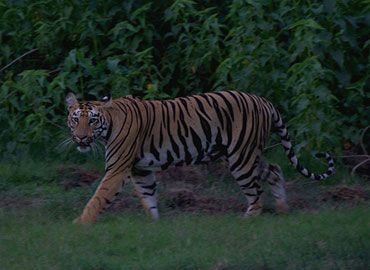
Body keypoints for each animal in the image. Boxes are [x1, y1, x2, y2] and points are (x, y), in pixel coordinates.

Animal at [65, 90, 334, 224]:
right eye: (75, 119)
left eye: (92, 120)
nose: (80, 138)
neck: (108, 125)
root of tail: (264, 101)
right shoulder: (141, 170)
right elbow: (148, 197)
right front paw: (155, 224)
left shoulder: (118, 167)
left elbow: (99, 196)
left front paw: (80, 223)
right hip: (247, 154)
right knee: (275, 170)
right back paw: (283, 210)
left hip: (241, 158)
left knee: (257, 192)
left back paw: (249, 220)